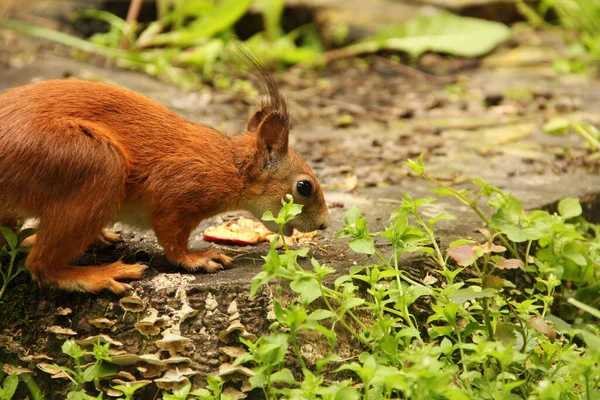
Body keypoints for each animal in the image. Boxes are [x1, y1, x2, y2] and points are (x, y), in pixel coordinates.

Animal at [0, 61, 328, 292]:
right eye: (304, 187)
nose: (324, 224)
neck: (229, 165)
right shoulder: (177, 189)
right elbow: (172, 239)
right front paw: (197, 258)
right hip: (94, 163)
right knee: (41, 266)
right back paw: (100, 275)